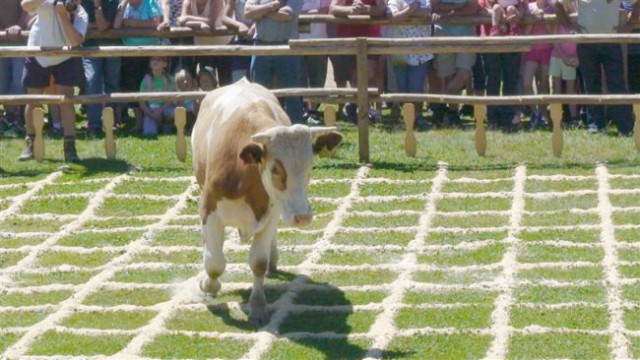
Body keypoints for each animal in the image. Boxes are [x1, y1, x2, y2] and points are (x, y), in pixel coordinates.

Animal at [191, 77, 342, 324]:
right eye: (275, 168)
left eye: (310, 166)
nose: (303, 216)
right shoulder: (208, 208)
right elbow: (214, 262)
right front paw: (208, 285)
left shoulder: (271, 214)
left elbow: (258, 262)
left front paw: (258, 306)